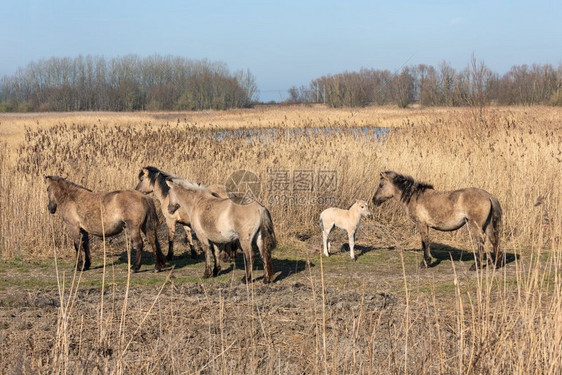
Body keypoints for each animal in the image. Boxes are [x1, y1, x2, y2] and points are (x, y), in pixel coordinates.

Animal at [370, 170, 500, 270]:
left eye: (381, 185)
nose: (374, 200)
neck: (414, 197)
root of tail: (489, 196)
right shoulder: (426, 226)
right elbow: (426, 242)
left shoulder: (421, 224)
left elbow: (424, 242)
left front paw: (425, 262)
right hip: (487, 226)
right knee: (494, 240)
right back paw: (496, 264)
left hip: (475, 225)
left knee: (480, 242)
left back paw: (475, 266)